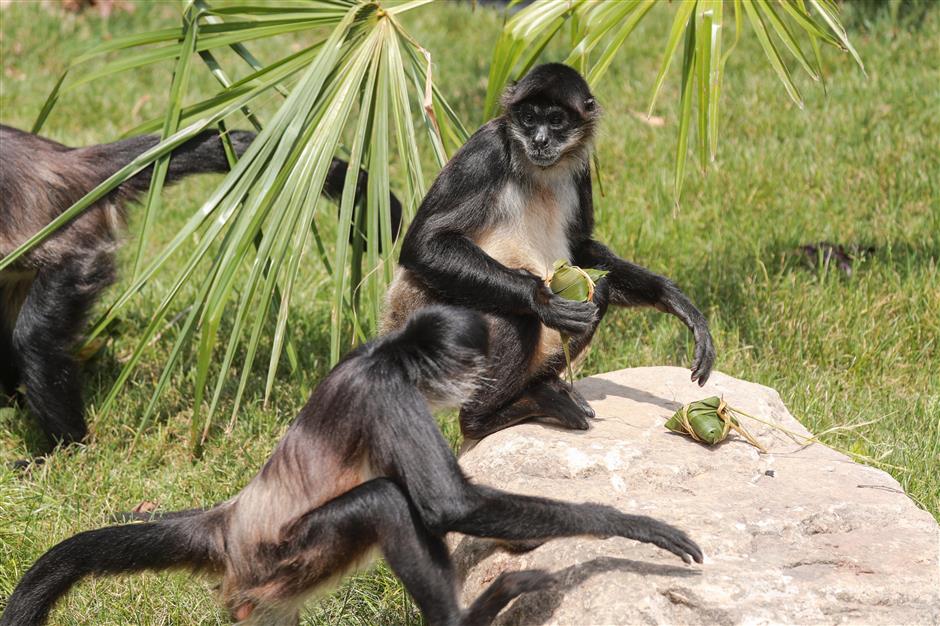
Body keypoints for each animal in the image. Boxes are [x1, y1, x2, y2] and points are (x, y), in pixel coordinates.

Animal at [380, 61, 712, 436]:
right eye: (527, 118)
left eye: (555, 121)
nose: (539, 140)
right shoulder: (486, 147)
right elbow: (422, 245)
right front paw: (542, 299)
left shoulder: (581, 169)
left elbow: (581, 251)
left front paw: (671, 297)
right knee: (516, 317)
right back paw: (481, 419)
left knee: (598, 291)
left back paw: (539, 388)